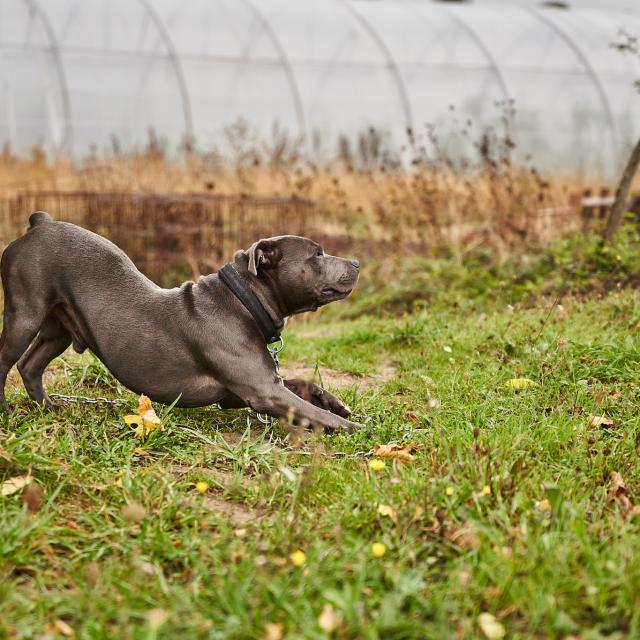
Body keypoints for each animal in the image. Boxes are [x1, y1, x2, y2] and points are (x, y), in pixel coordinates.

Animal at [0, 212, 360, 432]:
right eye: (317, 255)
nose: (356, 262)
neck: (244, 300)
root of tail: (40, 223)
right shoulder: (262, 391)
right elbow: (311, 411)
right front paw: (352, 428)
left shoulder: (242, 392)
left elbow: (303, 384)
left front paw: (336, 404)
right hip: (24, 315)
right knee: (7, 362)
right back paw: (5, 411)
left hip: (59, 329)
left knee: (31, 366)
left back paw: (49, 408)